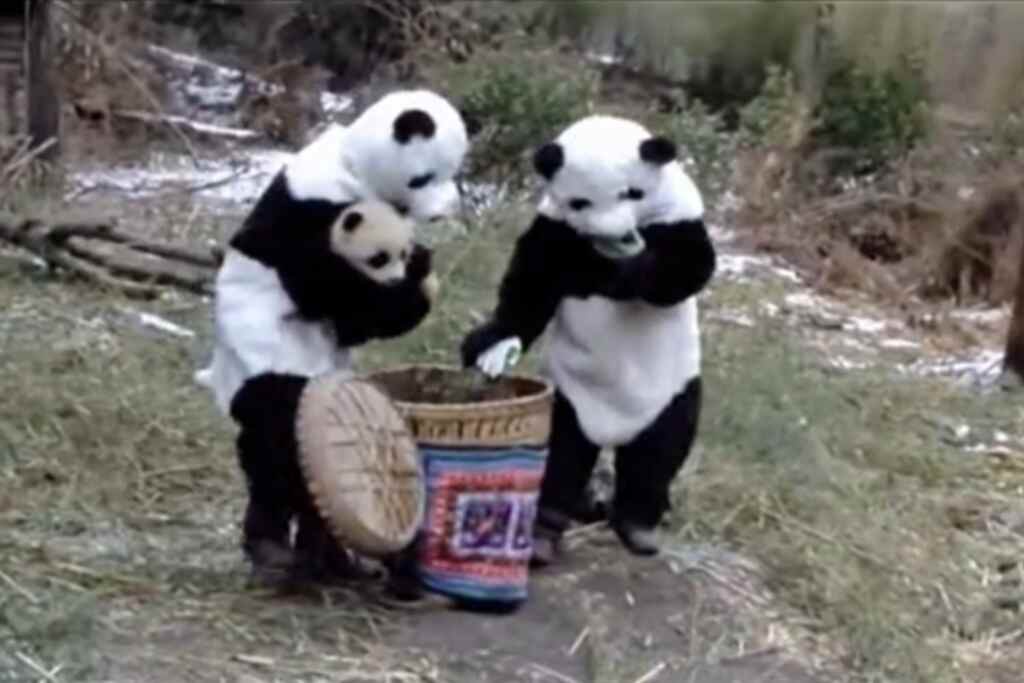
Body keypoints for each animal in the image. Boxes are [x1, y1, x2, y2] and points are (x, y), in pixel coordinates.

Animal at [195, 89, 467, 583]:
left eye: (455, 171)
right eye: (424, 177)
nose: (443, 211)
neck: (352, 161)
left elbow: (356, 324)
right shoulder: (310, 211)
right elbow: (324, 288)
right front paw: (411, 280)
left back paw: (332, 558)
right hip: (264, 356)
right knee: (276, 433)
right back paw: (273, 546)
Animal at [460, 115, 716, 566]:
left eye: (632, 192)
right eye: (581, 202)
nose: (618, 235)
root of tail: (611, 429)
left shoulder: (680, 217)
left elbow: (685, 269)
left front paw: (628, 271)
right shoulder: (552, 227)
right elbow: (529, 288)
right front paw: (490, 342)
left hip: (671, 393)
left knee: (660, 450)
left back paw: (637, 526)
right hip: (569, 395)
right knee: (564, 452)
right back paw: (547, 530)